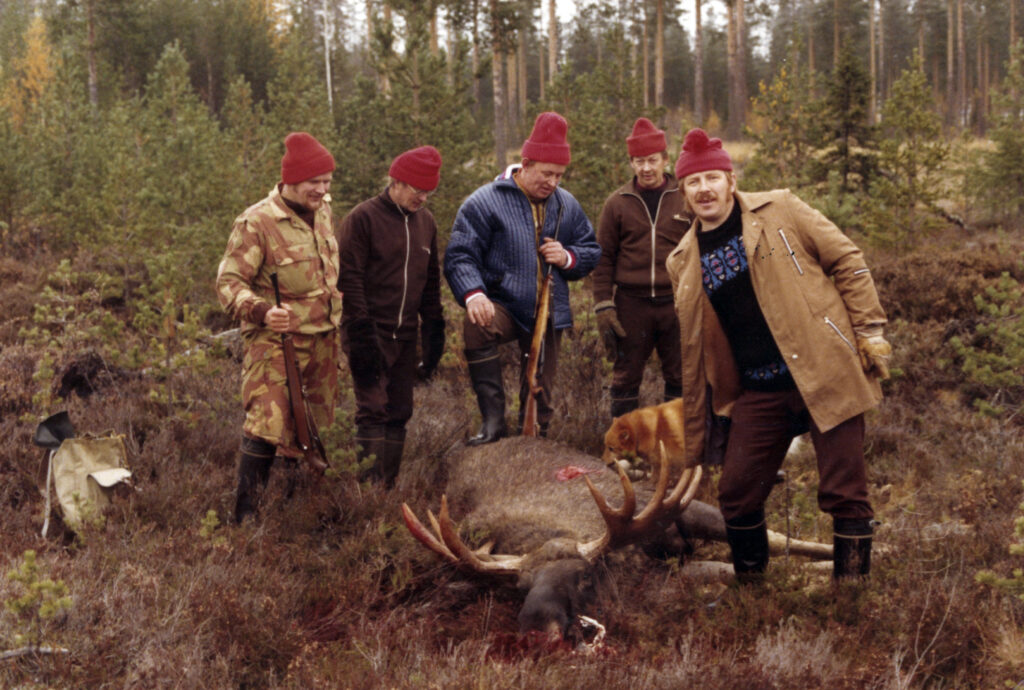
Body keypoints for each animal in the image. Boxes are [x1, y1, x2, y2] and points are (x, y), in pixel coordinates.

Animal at [402, 436, 832, 640]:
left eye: (584, 577)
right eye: (519, 589)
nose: (538, 632)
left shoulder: (679, 513)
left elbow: (770, 551)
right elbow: (732, 570)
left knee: (779, 537)